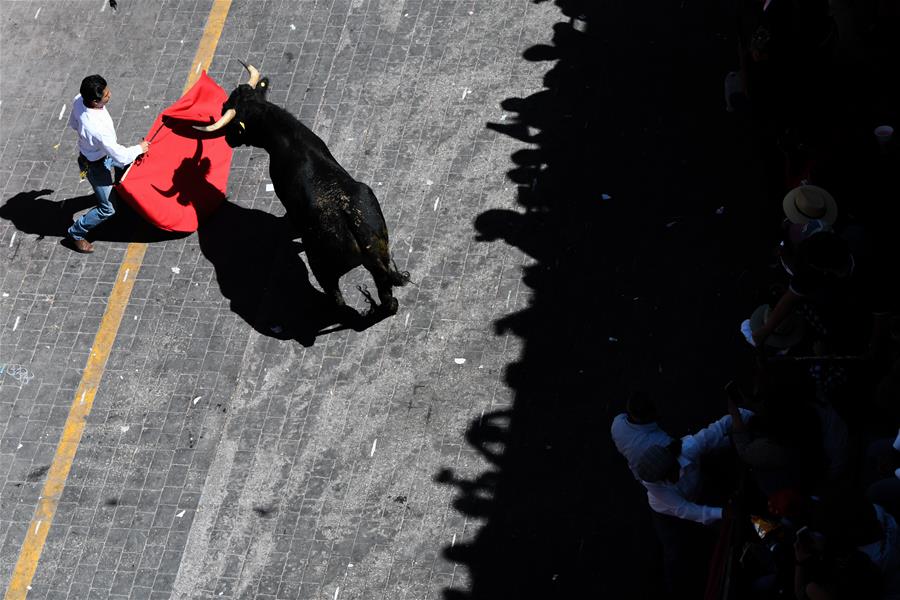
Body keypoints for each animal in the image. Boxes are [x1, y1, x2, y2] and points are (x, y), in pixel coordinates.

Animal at [199, 68, 410, 316]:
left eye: (228, 113)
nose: (228, 140)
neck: (288, 136)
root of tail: (356, 231)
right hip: (380, 260)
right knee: (388, 298)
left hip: (322, 266)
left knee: (338, 298)